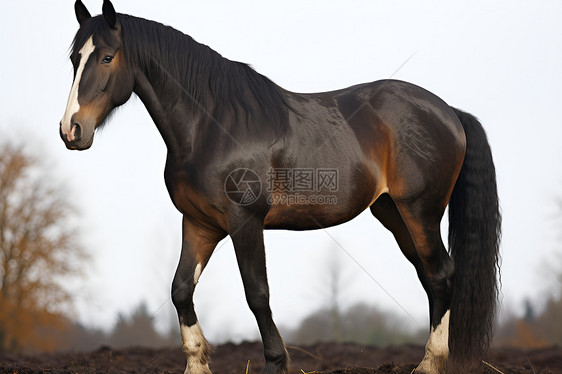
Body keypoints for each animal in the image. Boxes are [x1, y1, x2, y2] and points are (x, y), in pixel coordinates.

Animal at [60, 1, 498, 372]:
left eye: (107, 56)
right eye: (73, 58)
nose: (71, 130)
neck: (212, 125)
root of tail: (448, 112)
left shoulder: (245, 221)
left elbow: (257, 293)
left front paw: (276, 361)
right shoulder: (199, 223)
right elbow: (180, 289)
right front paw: (197, 362)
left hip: (420, 210)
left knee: (441, 273)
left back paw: (429, 363)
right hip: (394, 214)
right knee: (430, 276)